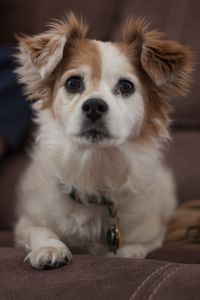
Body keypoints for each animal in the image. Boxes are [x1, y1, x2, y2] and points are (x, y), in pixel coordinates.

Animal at [13, 12, 192, 270]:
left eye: (126, 86)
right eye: (73, 83)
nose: (94, 105)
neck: (94, 164)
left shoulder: (152, 232)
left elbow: (135, 248)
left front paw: (119, 255)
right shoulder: (26, 222)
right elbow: (39, 230)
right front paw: (51, 248)